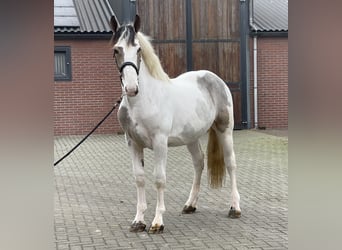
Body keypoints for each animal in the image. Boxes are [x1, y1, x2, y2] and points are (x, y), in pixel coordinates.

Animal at [109, 14, 240, 233]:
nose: (131, 88)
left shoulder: (160, 142)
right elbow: (139, 178)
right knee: (199, 162)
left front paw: (157, 222)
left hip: (225, 130)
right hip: (192, 137)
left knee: (230, 163)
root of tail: (214, 78)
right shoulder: (133, 143)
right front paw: (138, 221)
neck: (145, 100)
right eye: (116, 50)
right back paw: (190, 205)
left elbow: (159, 179)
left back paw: (235, 208)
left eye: (138, 49)